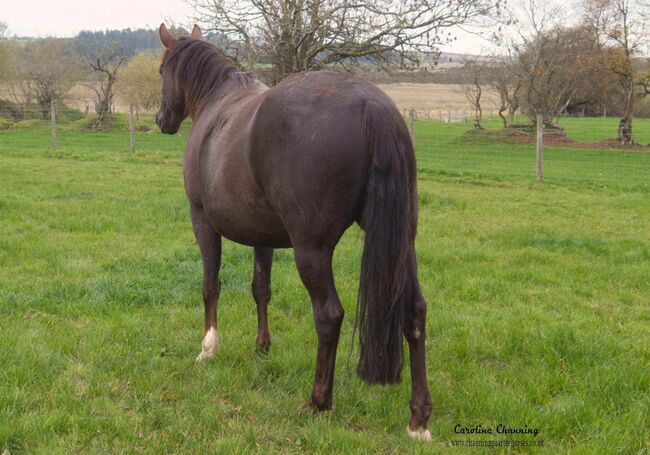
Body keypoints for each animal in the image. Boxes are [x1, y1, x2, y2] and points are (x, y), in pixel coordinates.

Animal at [155, 23, 432, 440]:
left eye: (160, 72)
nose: (161, 119)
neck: (216, 105)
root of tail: (371, 105)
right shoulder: (263, 238)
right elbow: (261, 289)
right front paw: (262, 348)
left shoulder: (201, 221)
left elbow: (210, 286)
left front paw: (208, 348)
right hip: (402, 245)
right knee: (414, 312)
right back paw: (418, 419)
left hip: (311, 250)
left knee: (329, 315)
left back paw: (318, 401)